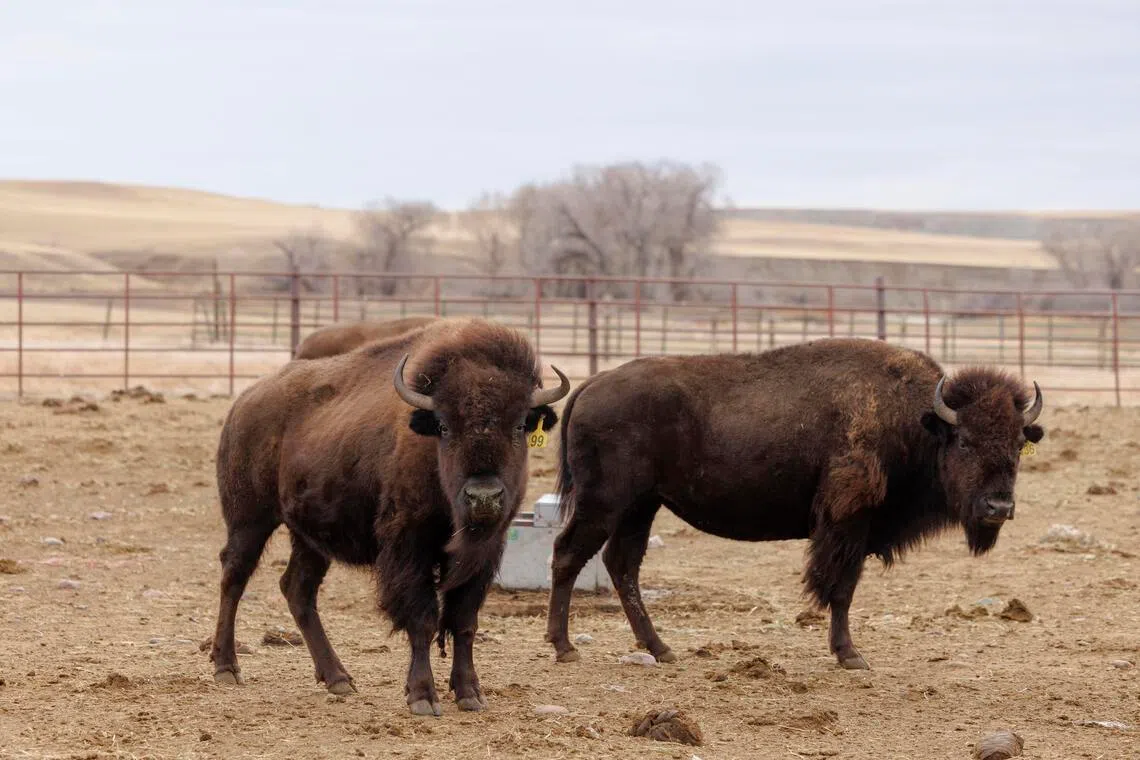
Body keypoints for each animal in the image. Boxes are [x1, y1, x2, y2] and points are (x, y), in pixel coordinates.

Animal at [546, 338, 1044, 670]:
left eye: (1018, 443)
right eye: (964, 441)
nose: (998, 507)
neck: (915, 421)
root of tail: (592, 384)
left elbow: (843, 588)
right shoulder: (849, 522)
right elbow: (841, 588)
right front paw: (850, 655)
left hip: (641, 507)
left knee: (622, 565)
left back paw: (661, 649)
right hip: (605, 503)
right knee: (569, 554)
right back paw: (565, 647)